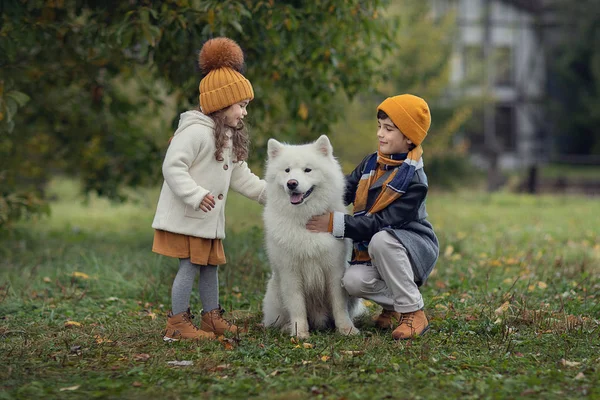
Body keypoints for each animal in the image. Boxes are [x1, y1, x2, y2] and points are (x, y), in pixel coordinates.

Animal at [262, 134, 360, 338]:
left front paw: (346, 329)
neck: (305, 220)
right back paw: (286, 327)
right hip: (275, 293)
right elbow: (297, 306)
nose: (292, 183)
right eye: (287, 170)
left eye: (308, 170)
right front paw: (300, 333)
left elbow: (339, 305)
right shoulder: (290, 272)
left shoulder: (334, 270)